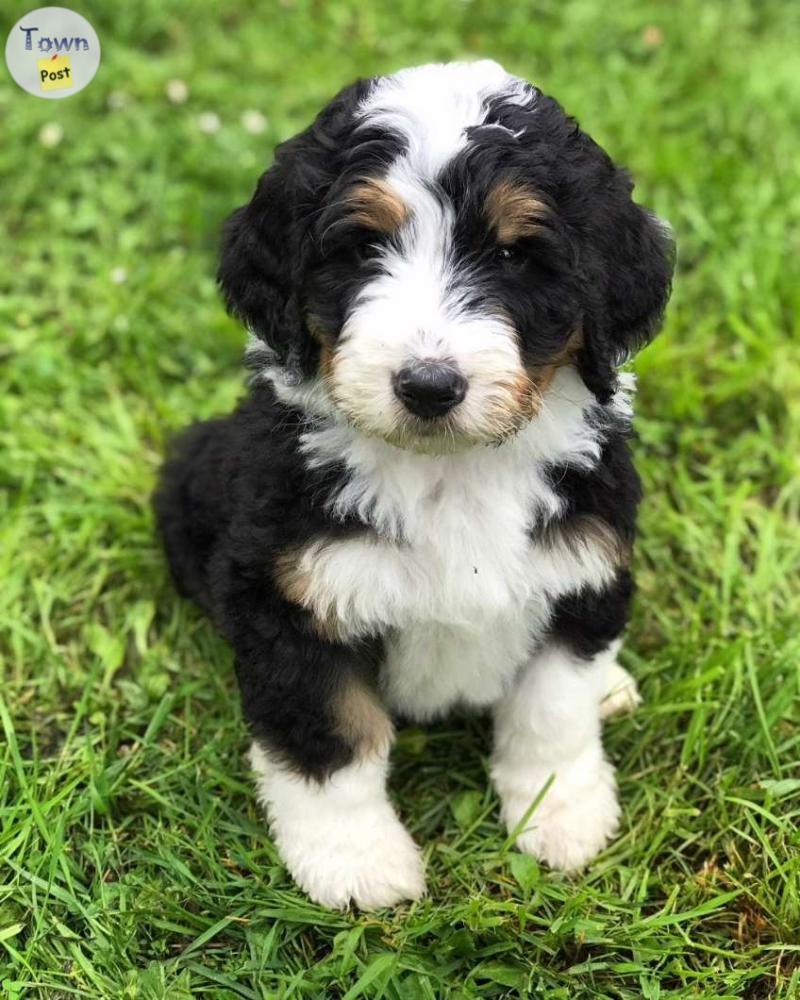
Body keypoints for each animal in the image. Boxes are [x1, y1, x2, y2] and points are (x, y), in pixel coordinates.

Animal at [152, 58, 676, 912]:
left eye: (514, 256)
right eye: (363, 246)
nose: (429, 386)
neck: (450, 471)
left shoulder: (583, 568)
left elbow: (552, 709)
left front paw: (561, 813)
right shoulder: (290, 598)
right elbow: (330, 741)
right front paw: (355, 863)